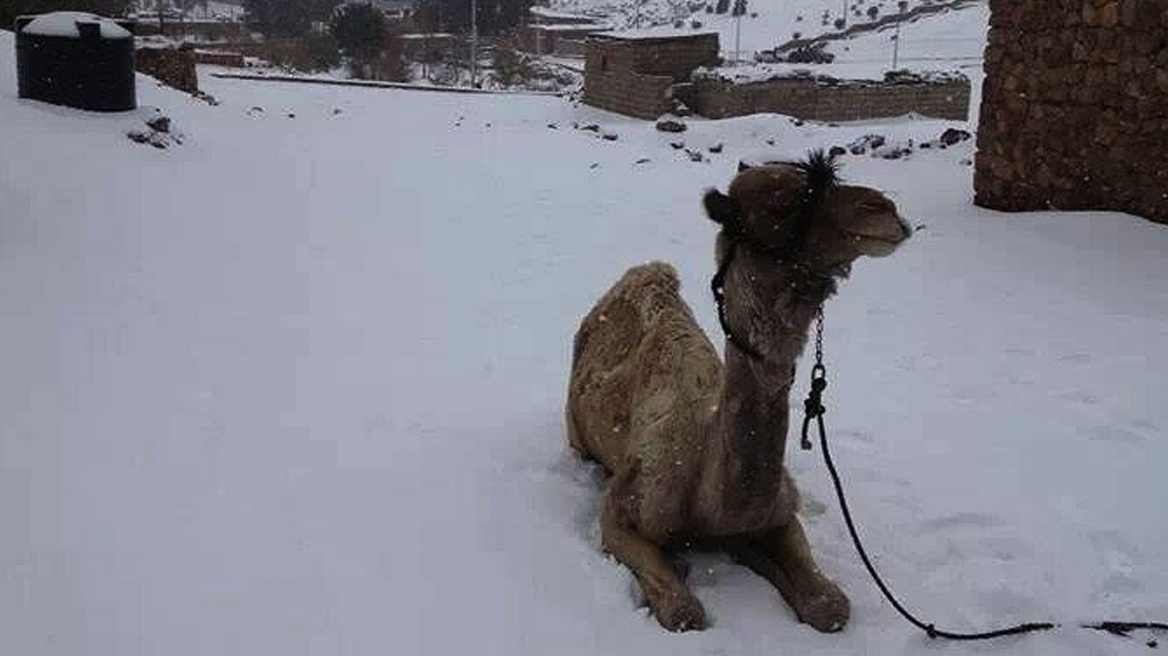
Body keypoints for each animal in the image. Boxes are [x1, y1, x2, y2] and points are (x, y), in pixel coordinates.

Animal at [565, 151, 911, 630]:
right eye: (780, 204)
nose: (885, 209)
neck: (709, 494)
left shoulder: (779, 514)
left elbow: (831, 605)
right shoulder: (622, 511)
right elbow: (685, 611)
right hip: (577, 436)